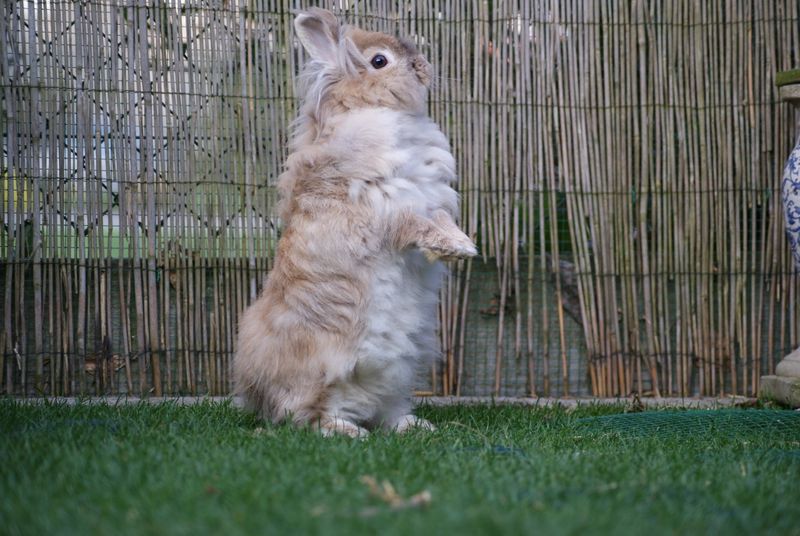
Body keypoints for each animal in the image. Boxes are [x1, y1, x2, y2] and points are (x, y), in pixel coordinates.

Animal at [234, 6, 478, 438]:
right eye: (380, 61)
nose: (423, 65)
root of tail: (257, 395)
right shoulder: (386, 208)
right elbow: (417, 227)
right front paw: (457, 249)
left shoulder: (432, 198)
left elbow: (441, 218)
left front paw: (463, 244)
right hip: (323, 371)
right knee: (306, 417)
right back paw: (349, 431)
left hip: (400, 370)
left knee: (385, 410)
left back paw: (415, 426)